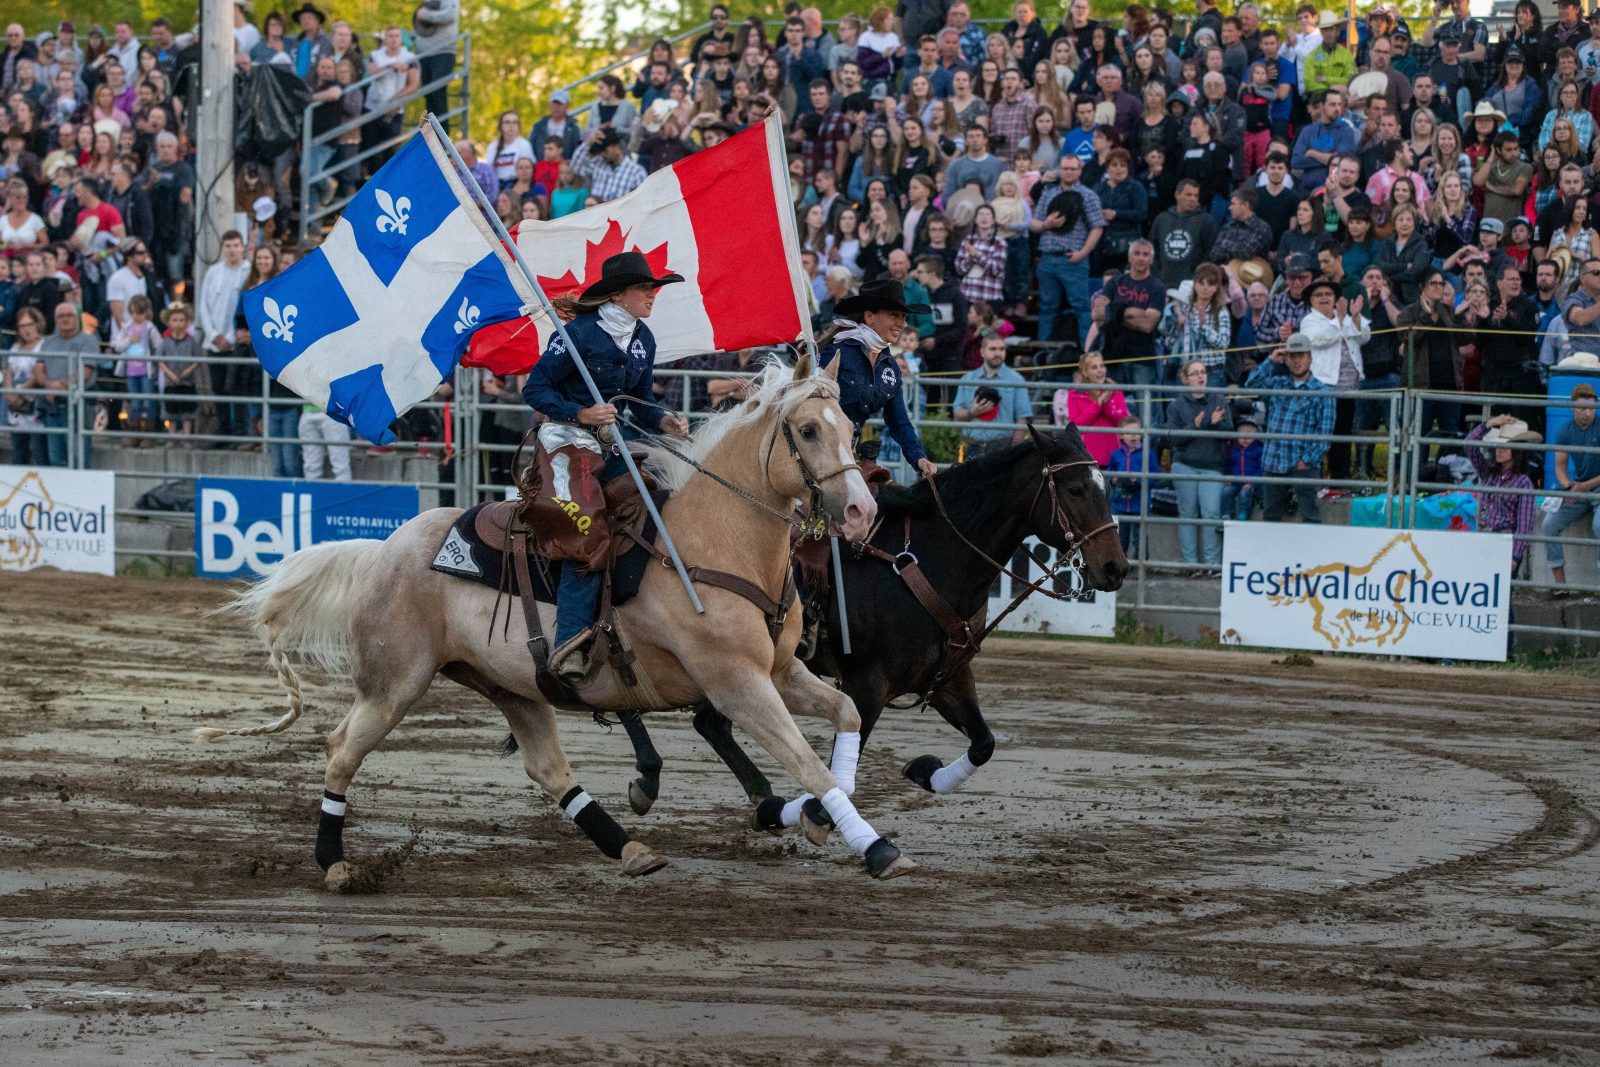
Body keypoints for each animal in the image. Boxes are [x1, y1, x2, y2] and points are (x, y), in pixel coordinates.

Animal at [200, 355, 921, 883]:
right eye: (808, 429)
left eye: (850, 424)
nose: (860, 511)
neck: (709, 542)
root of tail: (384, 549)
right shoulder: (736, 683)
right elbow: (808, 763)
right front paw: (874, 845)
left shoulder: (780, 671)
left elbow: (844, 717)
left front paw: (824, 817)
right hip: (394, 683)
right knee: (341, 748)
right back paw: (335, 863)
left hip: (513, 686)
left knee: (549, 770)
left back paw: (630, 849)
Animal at [617, 425, 1132, 831]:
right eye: (1075, 489)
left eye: (1107, 487)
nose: (1115, 569)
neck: (925, 558)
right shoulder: (868, 685)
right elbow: (834, 777)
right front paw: (813, 814)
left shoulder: (948, 679)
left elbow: (984, 743)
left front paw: (925, 771)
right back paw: (656, 776)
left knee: (706, 721)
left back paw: (749, 795)